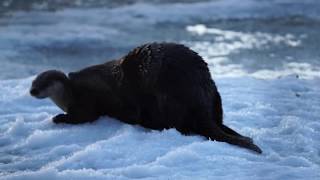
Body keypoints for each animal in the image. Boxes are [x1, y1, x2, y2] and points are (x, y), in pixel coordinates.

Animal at [29, 42, 262, 153]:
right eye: (32, 82)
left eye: (43, 83)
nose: (31, 91)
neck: (70, 92)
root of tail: (198, 96)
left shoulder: (85, 100)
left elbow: (83, 116)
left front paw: (58, 118)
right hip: (216, 95)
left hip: (163, 96)